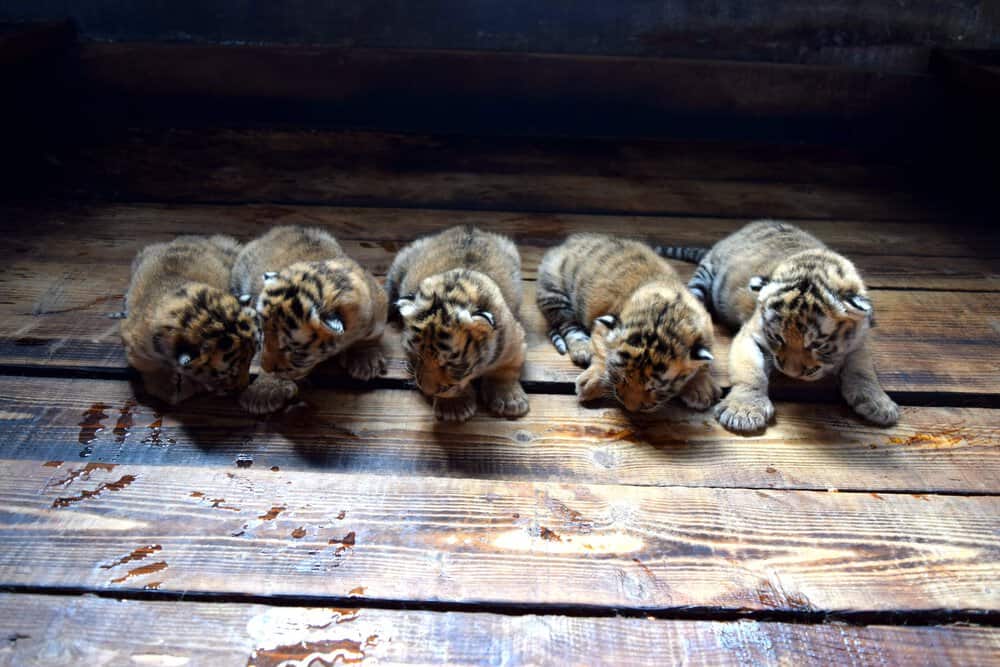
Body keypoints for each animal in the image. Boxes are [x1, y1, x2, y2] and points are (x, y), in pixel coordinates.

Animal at [121, 235, 260, 405]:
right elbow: (149, 366)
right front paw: (167, 386)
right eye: (230, 373)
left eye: (250, 360)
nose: (244, 386)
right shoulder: (132, 343)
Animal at [231, 226, 388, 415]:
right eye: (262, 337)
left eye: (292, 350)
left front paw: (364, 359)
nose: (267, 367)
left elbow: (369, 337)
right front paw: (264, 390)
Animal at [386, 225, 528, 422]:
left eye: (449, 364)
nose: (427, 390)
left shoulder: (513, 341)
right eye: (417, 356)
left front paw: (509, 400)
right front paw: (454, 406)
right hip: (402, 261)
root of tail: (467, 227)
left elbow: (506, 367)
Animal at [537, 233, 719, 413]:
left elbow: (704, 363)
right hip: (554, 291)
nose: (630, 408)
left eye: (653, 388)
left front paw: (701, 389)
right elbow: (603, 355)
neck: (668, 311)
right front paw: (590, 382)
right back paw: (582, 348)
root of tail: (566, 243)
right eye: (622, 377)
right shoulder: (602, 326)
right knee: (566, 323)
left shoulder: (706, 329)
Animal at [656, 219, 899, 433]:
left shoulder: (858, 341)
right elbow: (750, 371)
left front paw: (879, 404)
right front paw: (743, 411)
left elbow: (863, 371)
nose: (791, 373)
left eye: (817, 345)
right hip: (705, 275)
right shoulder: (750, 334)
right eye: (777, 338)